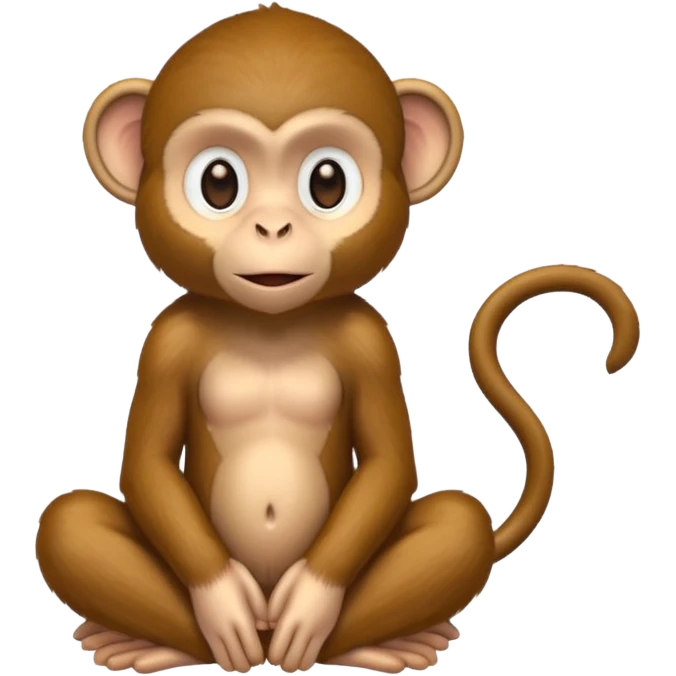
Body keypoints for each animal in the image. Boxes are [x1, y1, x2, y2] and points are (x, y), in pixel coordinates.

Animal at [35, 3, 642, 674]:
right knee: (67, 521)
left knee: (458, 522)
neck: (271, 324)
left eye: (327, 182)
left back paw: (378, 641)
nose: (273, 227)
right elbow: (148, 462)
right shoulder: (167, 339)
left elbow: (388, 462)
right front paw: (221, 603)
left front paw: (312, 604)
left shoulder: (369, 339)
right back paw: (154, 641)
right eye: (219, 182)